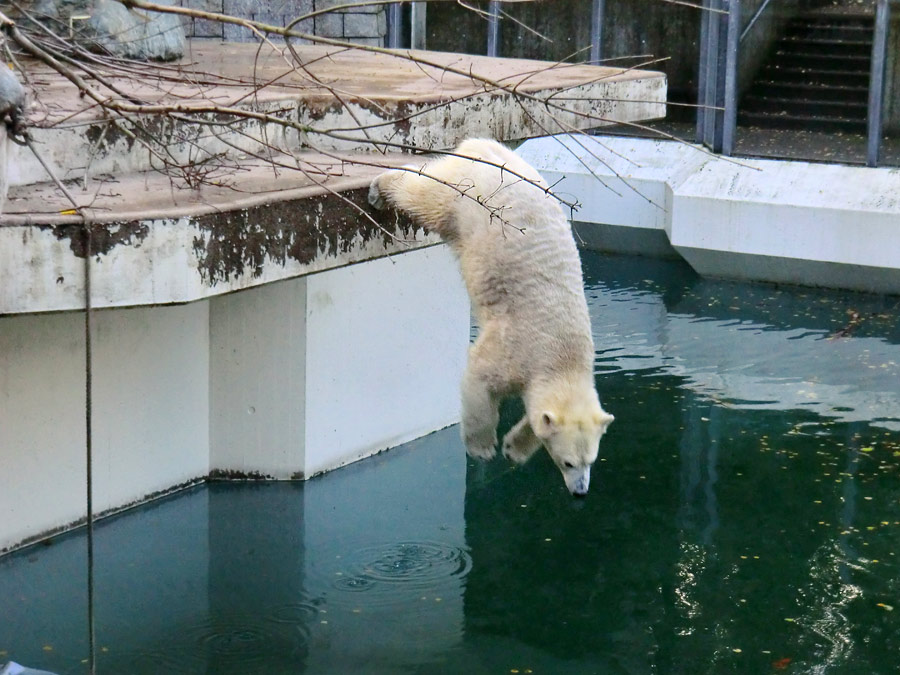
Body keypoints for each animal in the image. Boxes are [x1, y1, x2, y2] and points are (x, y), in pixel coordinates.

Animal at [366, 139, 612, 496]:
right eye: (568, 463)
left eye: (590, 461)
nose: (580, 492)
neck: (562, 354)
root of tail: (483, 146)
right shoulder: (515, 348)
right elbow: (478, 380)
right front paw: (483, 449)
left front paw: (514, 448)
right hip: (467, 197)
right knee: (427, 197)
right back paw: (380, 187)